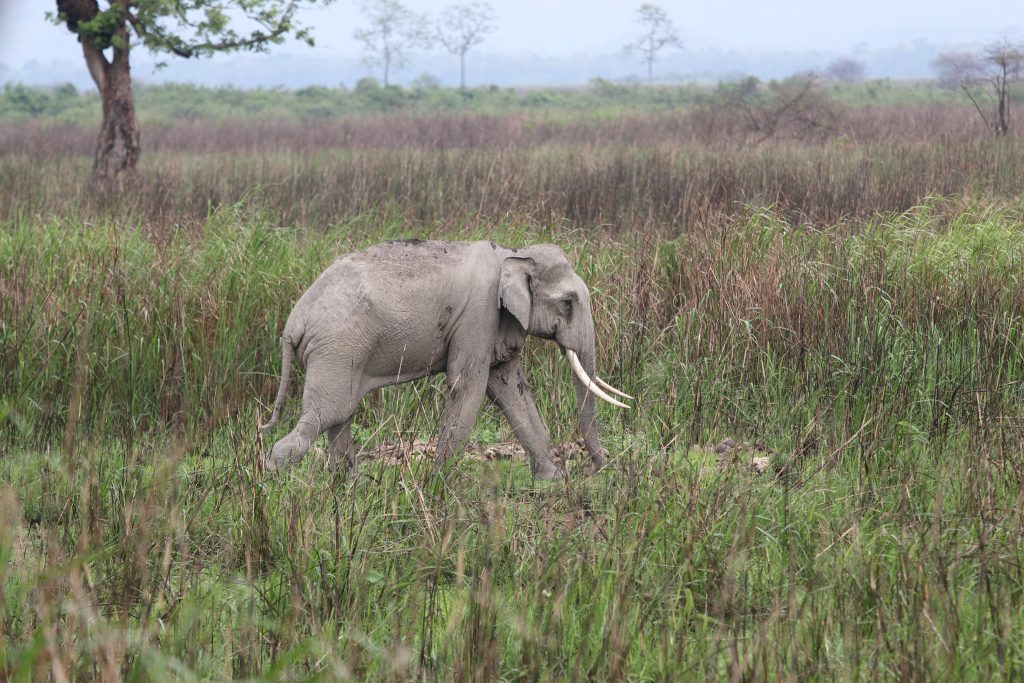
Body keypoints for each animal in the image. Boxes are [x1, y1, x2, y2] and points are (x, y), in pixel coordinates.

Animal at [260, 240, 626, 481]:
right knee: (325, 415)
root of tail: (293, 324)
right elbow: (468, 387)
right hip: (337, 349)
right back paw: (271, 475)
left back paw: (351, 486)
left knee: (340, 418)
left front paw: (551, 481)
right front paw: (437, 484)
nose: (595, 468)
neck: (512, 254)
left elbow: (509, 389)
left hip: (340, 354)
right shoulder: (478, 315)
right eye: (567, 303)